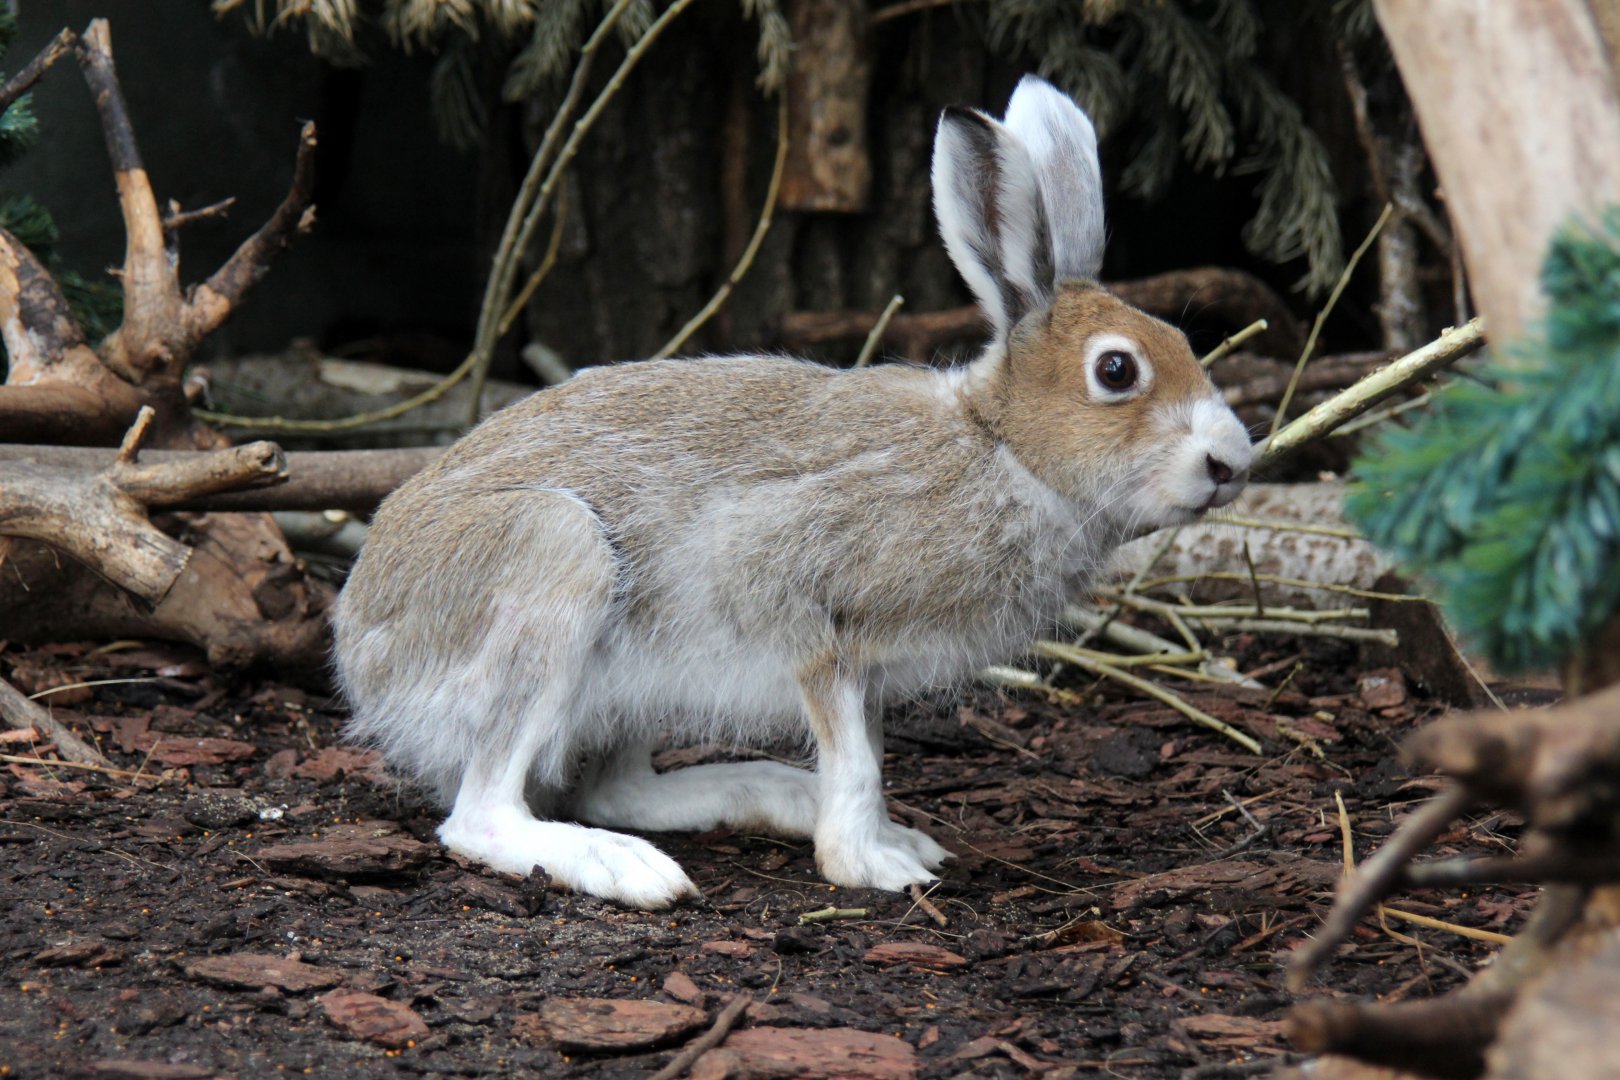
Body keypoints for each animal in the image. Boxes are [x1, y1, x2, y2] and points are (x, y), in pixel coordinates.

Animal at [332, 75, 1253, 910]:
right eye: (1117, 370)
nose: (1233, 461)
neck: (1003, 447)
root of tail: (362, 651)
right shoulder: (805, 609)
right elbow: (857, 760)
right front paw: (870, 863)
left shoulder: (867, 671)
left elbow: (865, 755)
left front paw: (886, 838)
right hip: (554, 565)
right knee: (482, 811)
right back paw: (624, 868)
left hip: (628, 685)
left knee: (617, 789)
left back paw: (766, 796)